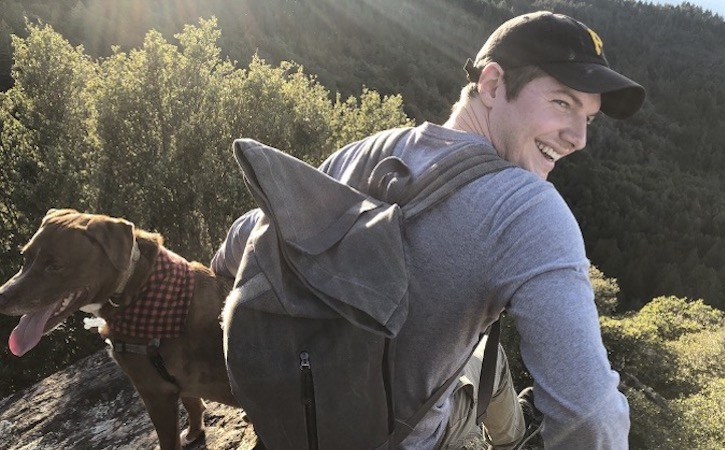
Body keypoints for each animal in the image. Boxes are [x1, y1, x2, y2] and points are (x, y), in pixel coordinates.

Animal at [0, 209, 239, 448]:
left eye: (55, 265)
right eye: (25, 257)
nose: (2, 296)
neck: (137, 287)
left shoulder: (154, 392)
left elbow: (168, 438)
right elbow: (192, 404)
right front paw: (194, 433)